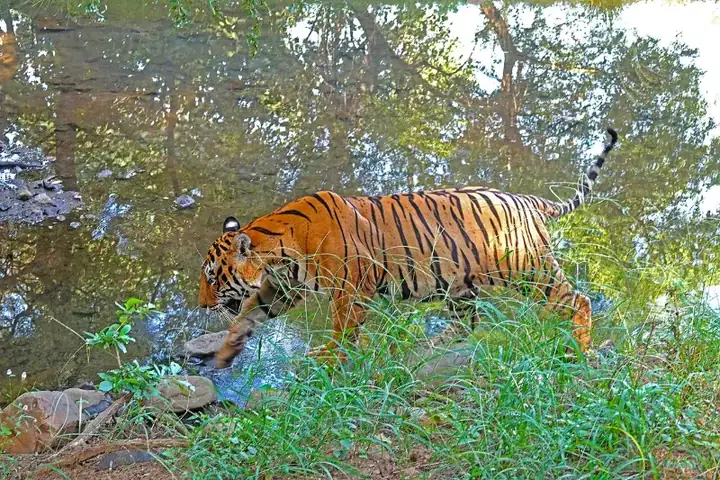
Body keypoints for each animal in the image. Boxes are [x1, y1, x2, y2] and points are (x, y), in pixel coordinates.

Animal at [199, 128, 618, 368]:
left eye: (213, 278)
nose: (202, 306)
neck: (277, 251)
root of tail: (528, 200)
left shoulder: (350, 289)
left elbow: (342, 330)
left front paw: (330, 359)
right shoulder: (284, 287)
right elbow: (249, 314)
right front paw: (225, 353)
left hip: (528, 270)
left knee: (577, 300)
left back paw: (582, 351)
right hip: (460, 285)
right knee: (466, 324)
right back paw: (426, 348)